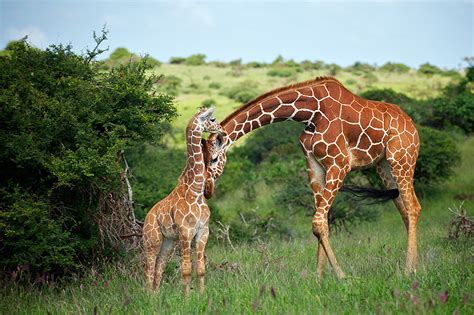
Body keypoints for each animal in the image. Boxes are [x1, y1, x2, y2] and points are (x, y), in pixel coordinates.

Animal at [143, 107, 225, 296]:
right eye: (212, 119)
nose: (222, 131)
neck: (195, 190)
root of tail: (146, 218)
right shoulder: (186, 232)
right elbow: (186, 269)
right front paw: (186, 298)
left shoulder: (203, 231)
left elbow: (200, 268)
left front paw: (202, 295)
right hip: (152, 240)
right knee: (148, 268)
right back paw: (149, 297)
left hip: (168, 242)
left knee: (159, 267)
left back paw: (156, 297)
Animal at [204, 78, 422, 280]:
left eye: (213, 159)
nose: (206, 190)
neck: (310, 113)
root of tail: (412, 124)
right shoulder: (314, 165)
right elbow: (322, 222)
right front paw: (319, 278)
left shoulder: (339, 164)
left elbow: (317, 221)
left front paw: (341, 276)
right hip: (383, 166)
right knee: (404, 209)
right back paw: (415, 265)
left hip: (402, 158)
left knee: (413, 207)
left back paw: (408, 270)